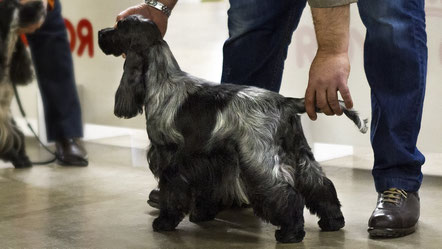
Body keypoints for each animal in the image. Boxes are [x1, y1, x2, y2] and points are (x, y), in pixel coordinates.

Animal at [98, 15, 368, 243]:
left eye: (119, 26)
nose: (100, 32)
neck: (162, 79)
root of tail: (285, 102)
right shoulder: (208, 160)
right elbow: (206, 190)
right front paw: (202, 215)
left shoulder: (170, 157)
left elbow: (171, 193)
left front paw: (164, 222)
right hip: (299, 152)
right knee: (320, 184)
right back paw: (332, 221)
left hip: (258, 158)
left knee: (285, 193)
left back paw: (290, 233)